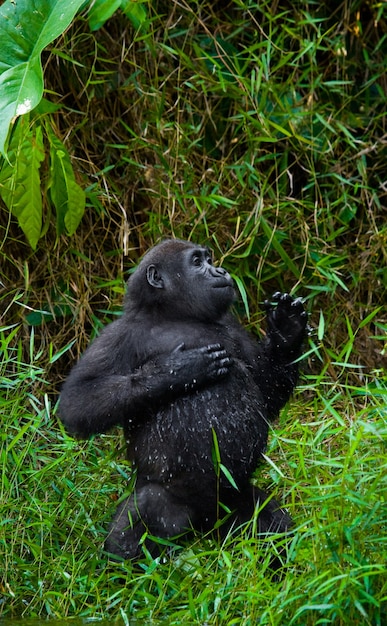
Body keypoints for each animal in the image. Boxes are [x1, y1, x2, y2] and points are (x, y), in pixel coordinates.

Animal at [59, 239, 308, 560]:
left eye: (209, 259)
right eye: (197, 263)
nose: (220, 271)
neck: (173, 315)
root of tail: (205, 523)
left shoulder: (232, 326)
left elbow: (266, 392)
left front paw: (288, 331)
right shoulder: (120, 333)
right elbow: (78, 401)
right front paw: (174, 371)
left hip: (233, 498)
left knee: (270, 525)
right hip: (169, 501)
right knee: (137, 525)